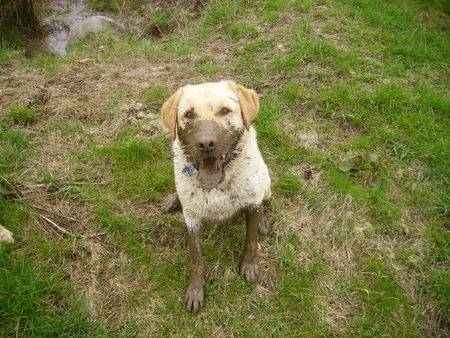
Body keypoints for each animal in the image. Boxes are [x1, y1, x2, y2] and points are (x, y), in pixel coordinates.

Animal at [161, 80, 270, 312]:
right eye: (189, 114)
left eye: (225, 111)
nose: (206, 144)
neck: (219, 185)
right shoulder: (192, 220)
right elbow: (196, 259)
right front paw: (196, 290)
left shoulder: (252, 203)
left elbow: (251, 240)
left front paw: (249, 266)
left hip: (266, 182)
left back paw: (263, 222)